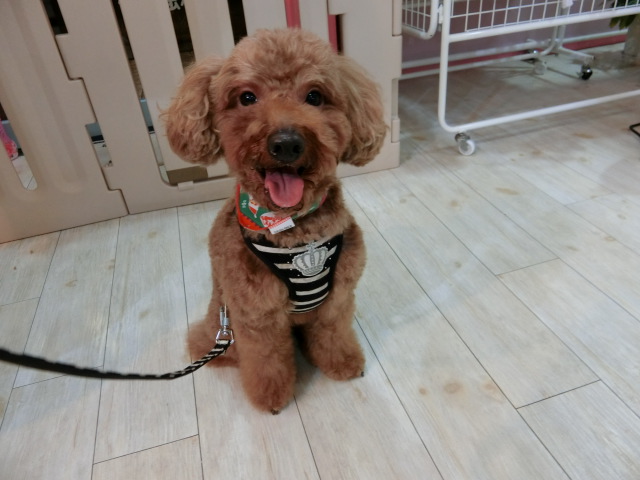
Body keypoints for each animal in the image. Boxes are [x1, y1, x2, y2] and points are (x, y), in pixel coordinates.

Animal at [163, 28, 386, 413]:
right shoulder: (257, 314)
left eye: (314, 96)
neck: (291, 228)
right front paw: (272, 396)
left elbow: (334, 334)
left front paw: (342, 363)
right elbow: (266, 359)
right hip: (223, 318)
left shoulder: (338, 298)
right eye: (246, 97)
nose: (286, 143)